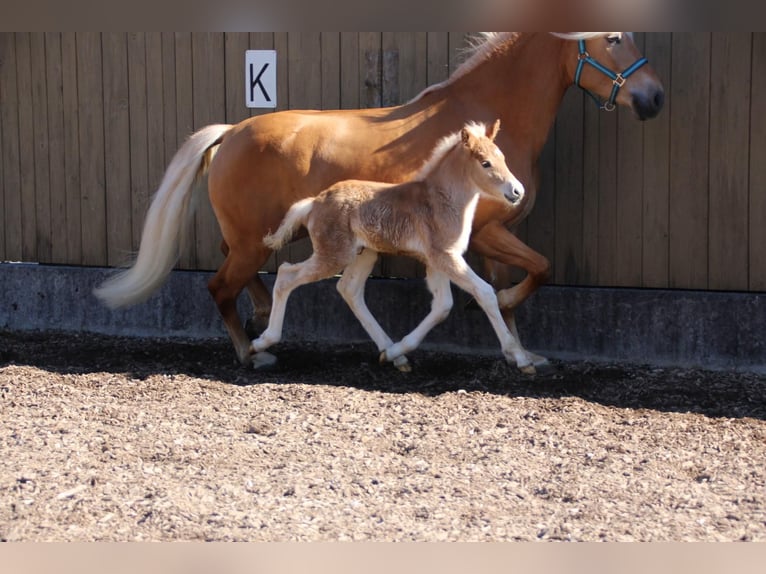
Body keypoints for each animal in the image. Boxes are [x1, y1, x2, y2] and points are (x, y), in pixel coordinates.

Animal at [252, 119, 531, 372]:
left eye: (503, 157)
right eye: (485, 163)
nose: (518, 191)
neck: (442, 200)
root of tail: (314, 202)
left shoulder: (437, 260)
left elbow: (442, 306)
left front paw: (397, 350)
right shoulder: (447, 257)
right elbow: (484, 292)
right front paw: (520, 357)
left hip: (364, 253)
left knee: (349, 289)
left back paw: (392, 354)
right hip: (333, 255)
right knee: (287, 275)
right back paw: (261, 342)